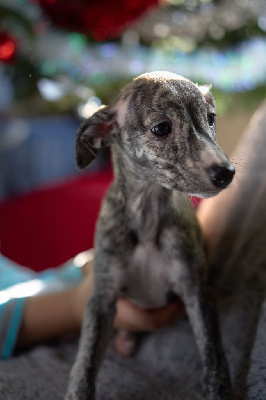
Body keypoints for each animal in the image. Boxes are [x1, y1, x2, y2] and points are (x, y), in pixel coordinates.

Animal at [65, 72, 234, 400]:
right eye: (161, 128)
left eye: (211, 119)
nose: (226, 173)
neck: (147, 213)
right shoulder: (102, 299)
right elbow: (85, 362)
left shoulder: (196, 290)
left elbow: (214, 354)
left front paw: (219, 390)